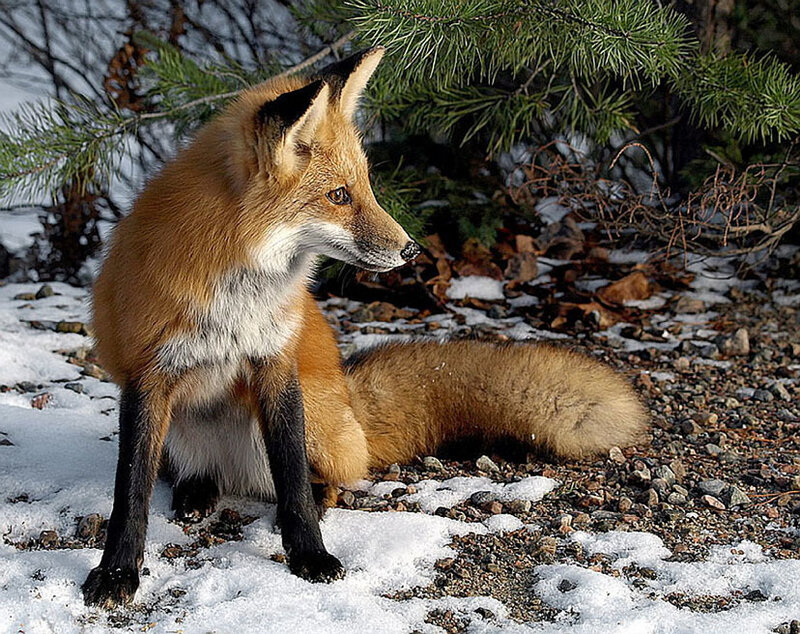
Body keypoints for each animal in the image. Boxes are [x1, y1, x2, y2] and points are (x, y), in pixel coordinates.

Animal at [83, 46, 648, 609]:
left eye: (366, 187)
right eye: (338, 195)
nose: (412, 249)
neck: (236, 297)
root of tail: (350, 395)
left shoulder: (276, 363)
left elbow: (291, 482)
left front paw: (310, 555)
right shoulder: (147, 376)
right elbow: (130, 492)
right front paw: (116, 573)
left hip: (313, 418)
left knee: (326, 477)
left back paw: (312, 496)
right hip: (180, 426)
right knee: (188, 471)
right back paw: (196, 490)